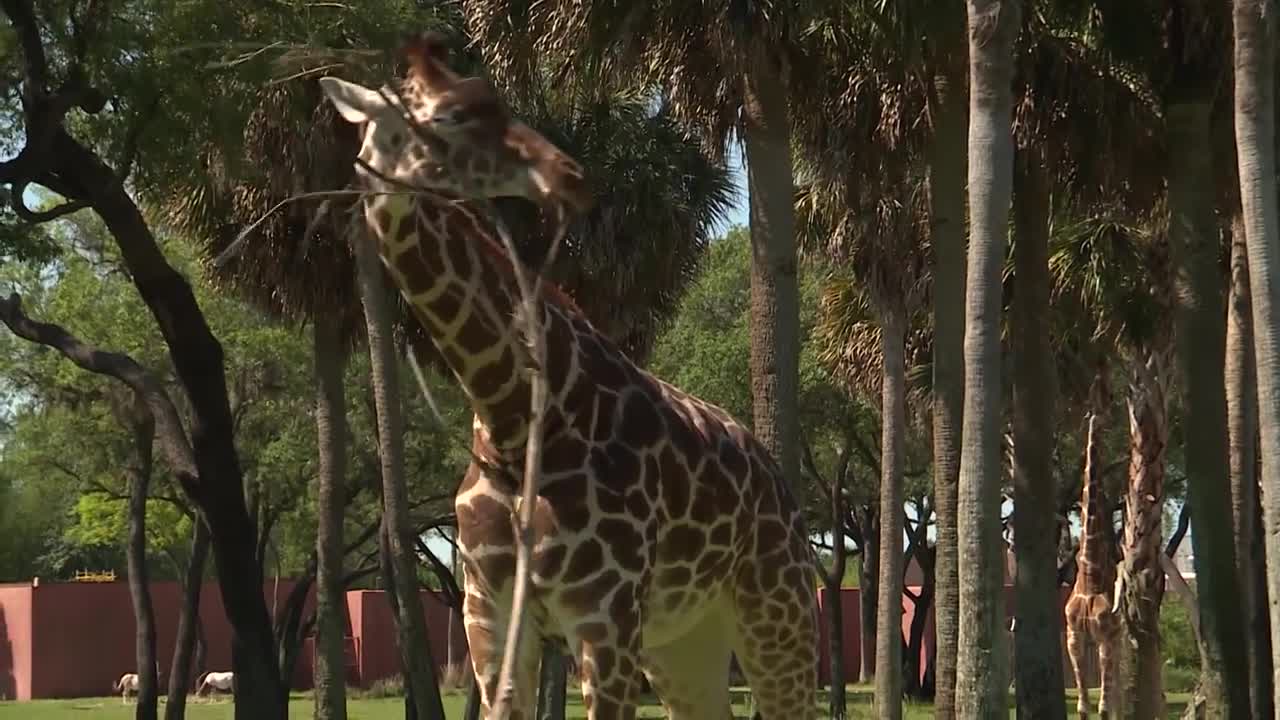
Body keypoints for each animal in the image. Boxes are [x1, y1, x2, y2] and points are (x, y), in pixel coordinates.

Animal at [320, 32, 819, 717]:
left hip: (775, 612)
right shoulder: (488, 614)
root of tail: (780, 486)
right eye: (451, 115)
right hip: (683, 640)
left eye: (495, 98)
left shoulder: (604, 619)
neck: (509, 416)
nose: (570, 174)